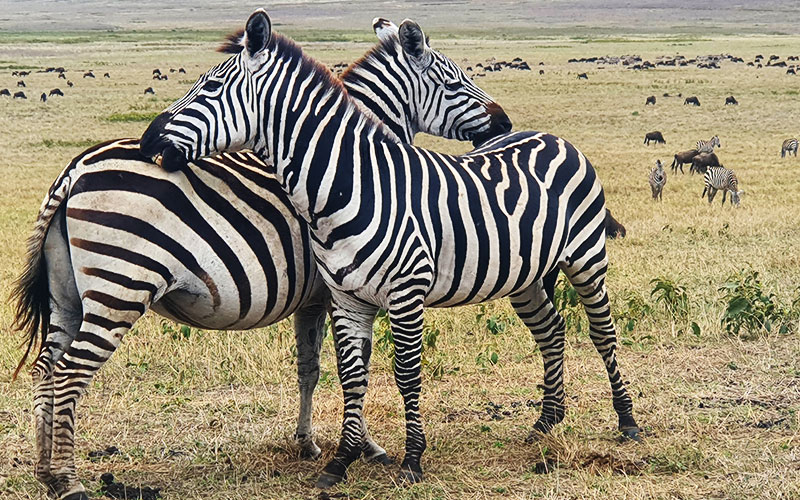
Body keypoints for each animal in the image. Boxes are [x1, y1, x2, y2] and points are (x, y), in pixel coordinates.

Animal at [10, 18, 512, 500]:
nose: (504, 123)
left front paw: (308, 443)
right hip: (120, 288)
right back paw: (69, 481)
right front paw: (368, 447)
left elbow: (310, 369)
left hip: (68, 296)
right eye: (455, 80)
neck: (348, 170)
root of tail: (75, 169)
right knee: (68, 376)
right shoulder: (340, 292)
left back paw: (45, 474)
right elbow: (353, 367)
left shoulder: (314, 300)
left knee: (45, 371)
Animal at [141, 7, 644, 490]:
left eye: (210, 87)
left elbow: (403, 374)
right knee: (552, 331)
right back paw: (547, 421)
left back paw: (627, 422)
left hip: (585, 258)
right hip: (526, 274)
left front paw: (410, 459)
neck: (350, 187)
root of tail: (554, 137)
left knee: (602, 333)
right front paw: (342, 459)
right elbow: (351, 376)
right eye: (454, 81)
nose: (149, 141)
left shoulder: (405, 294)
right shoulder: (345, 298)